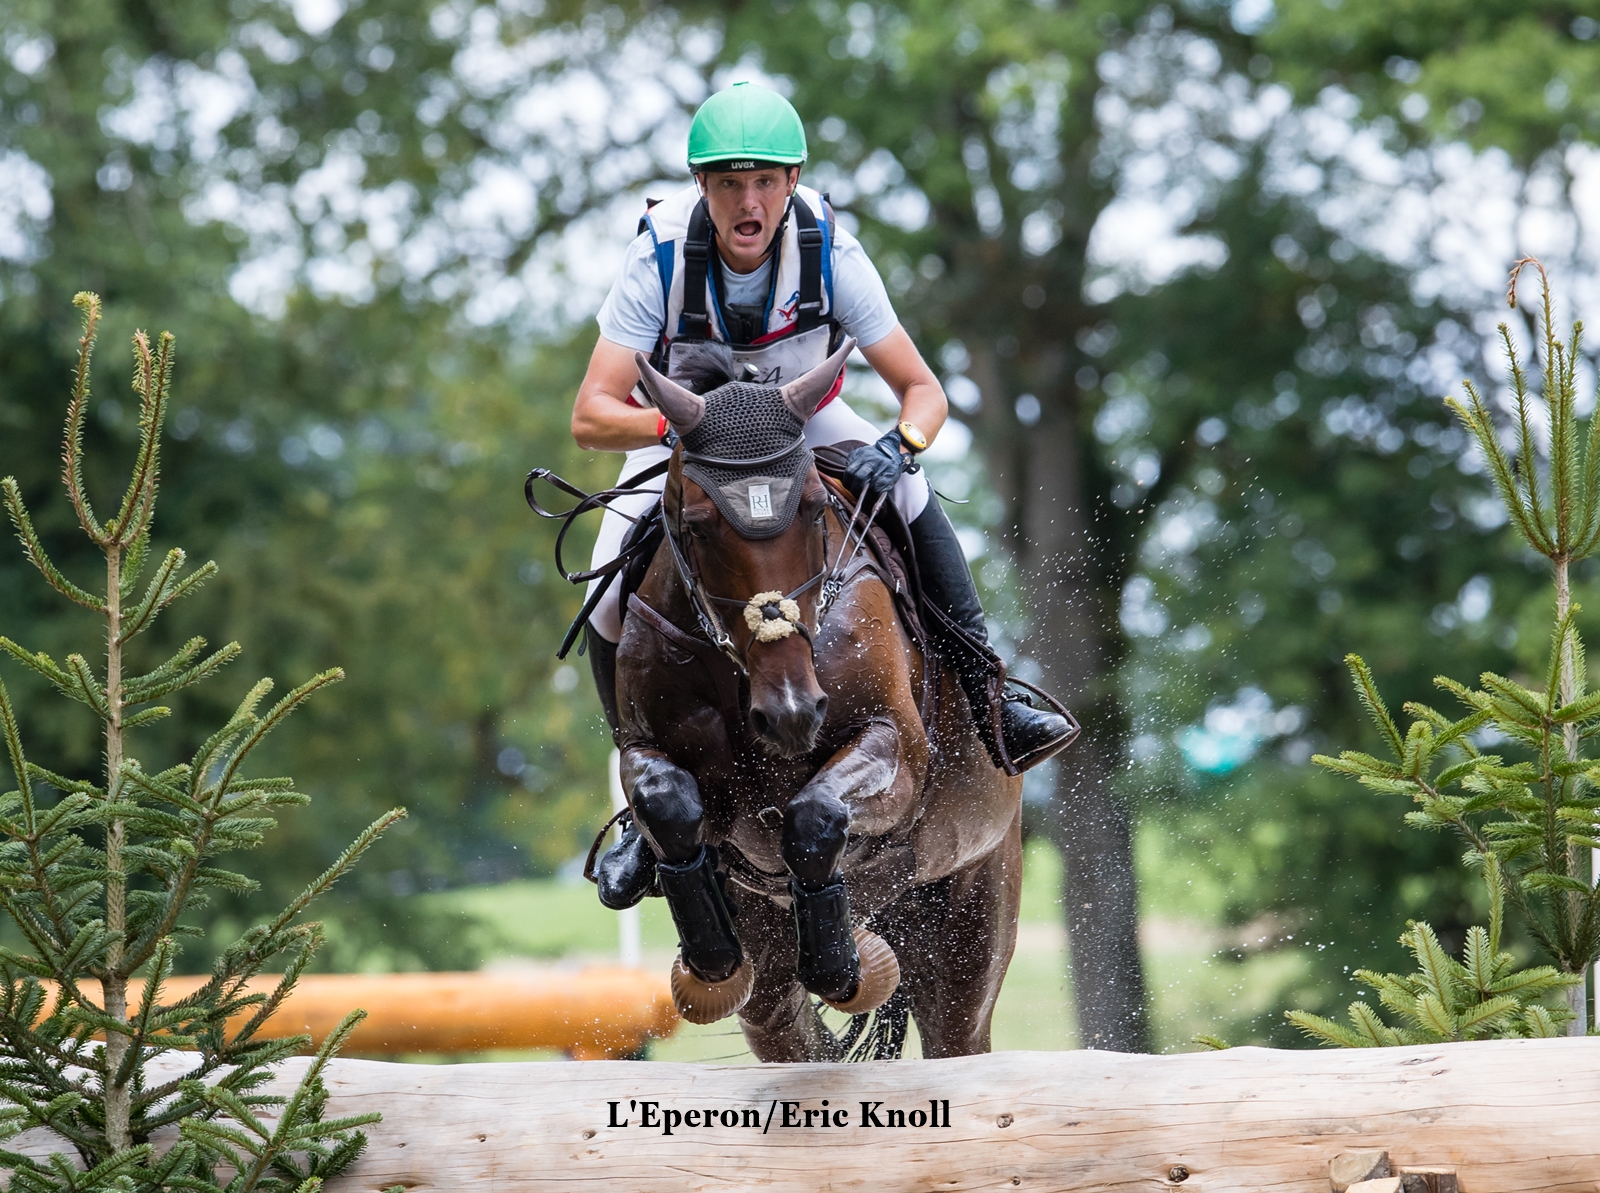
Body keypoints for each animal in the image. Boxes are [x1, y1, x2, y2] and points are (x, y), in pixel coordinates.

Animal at [611, 339, 1024, 1055]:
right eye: (698, 524)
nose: (791, 712)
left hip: (971, 919)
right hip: (773, 981)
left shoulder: (897, 746)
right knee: (786, 1028)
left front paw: (841, 964)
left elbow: (816, 812)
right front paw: (712, 956)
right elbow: (666, 799)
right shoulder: (643, 745)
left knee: (958, 1028)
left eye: (811, 507)